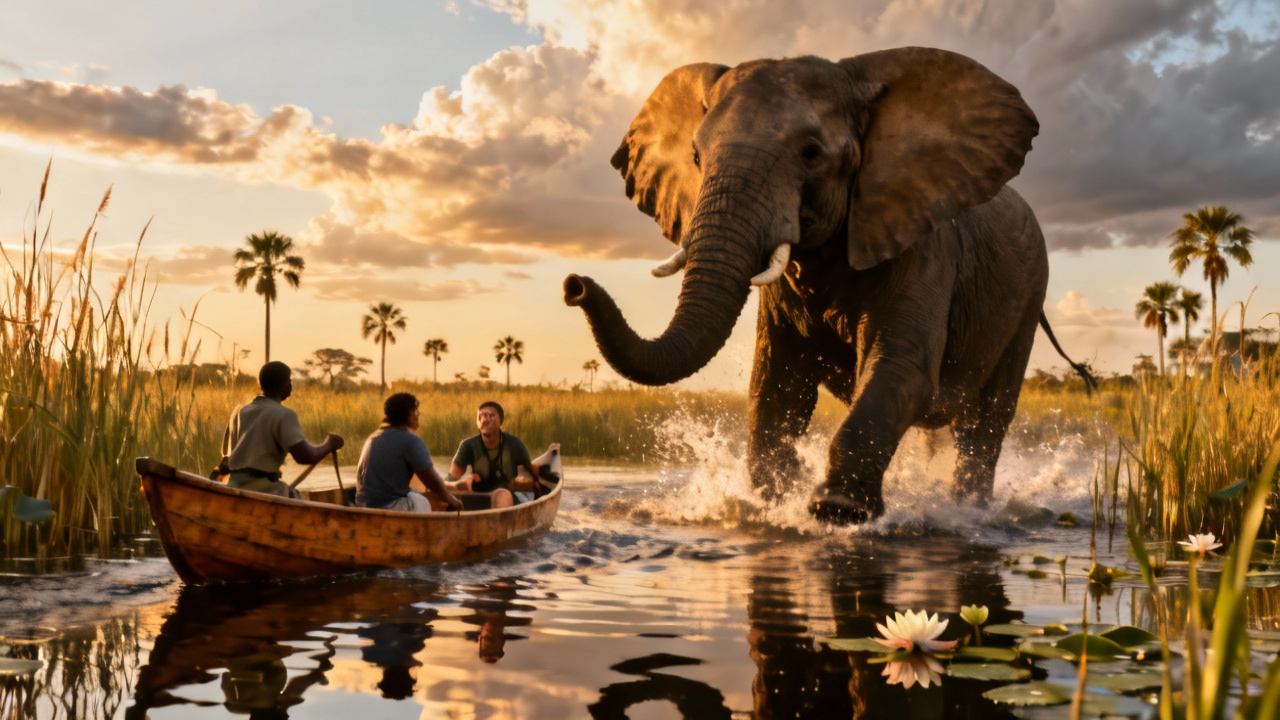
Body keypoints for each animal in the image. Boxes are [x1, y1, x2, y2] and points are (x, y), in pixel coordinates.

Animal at [563, 47, 1093, 524]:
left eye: (811, 154)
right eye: (696, 155)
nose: (574, 285)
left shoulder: (921, 245)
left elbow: (900, 369)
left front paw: (837, 511)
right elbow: (777, 387)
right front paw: (769, 505)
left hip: (1029, 297)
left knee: (984, 425)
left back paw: (970, 511)